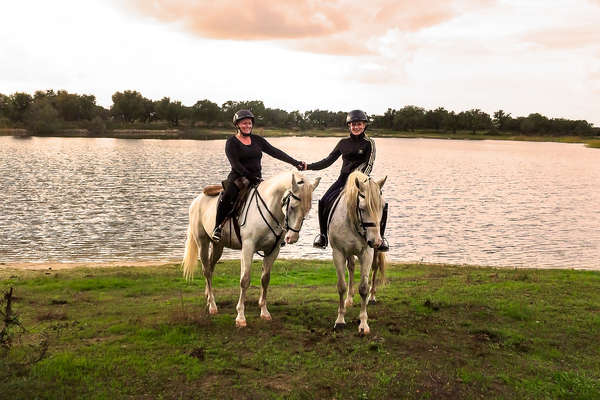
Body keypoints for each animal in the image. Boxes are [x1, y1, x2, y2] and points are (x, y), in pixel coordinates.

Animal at [182, 170, 318, 328]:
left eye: (307, 209)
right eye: (292, 207)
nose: (292, 238)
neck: (269, 208)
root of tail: (197, 200)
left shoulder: (272, 250)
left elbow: (265, 279)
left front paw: (264, 312)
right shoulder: (248, 247)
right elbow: (245, 280)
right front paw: (240, 317)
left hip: (218, 246)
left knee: (210, 267)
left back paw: (208, 296)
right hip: (202, 243)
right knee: (206, 270)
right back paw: (212, 306)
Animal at [328, 170, 384, 336]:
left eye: (382, 207)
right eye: (363, 208)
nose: (376, 241)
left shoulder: (367, 253)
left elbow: (363, 288)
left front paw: (363, 324)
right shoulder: (338, 252)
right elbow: (341, 285)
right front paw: (340, 319)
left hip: (374, 253)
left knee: (375, 268)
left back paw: (372, 296)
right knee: (351, 267)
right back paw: (349, 299)